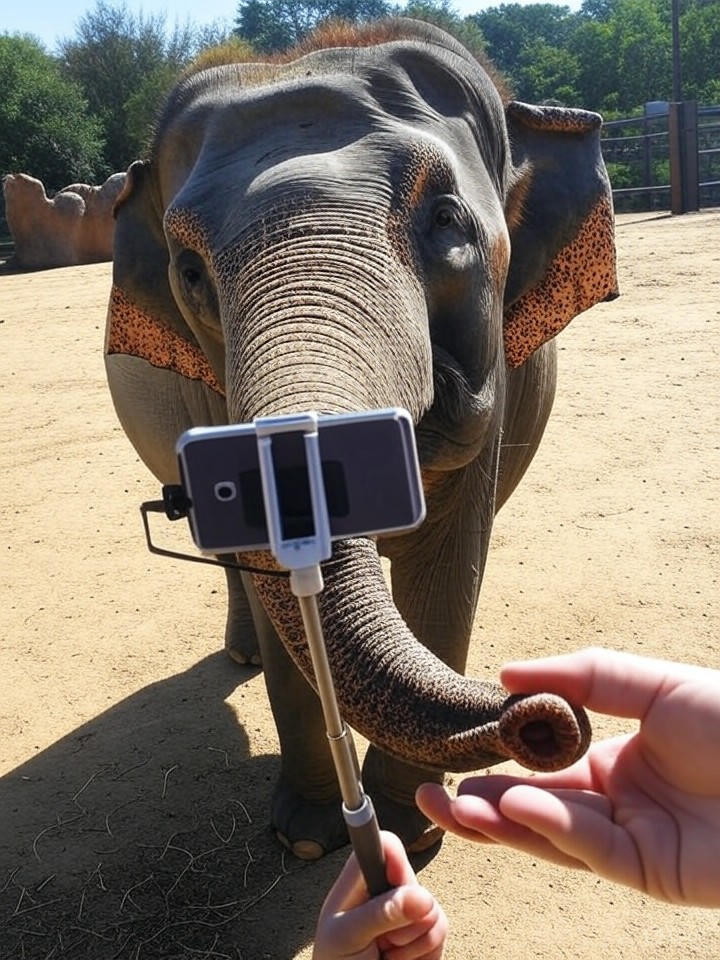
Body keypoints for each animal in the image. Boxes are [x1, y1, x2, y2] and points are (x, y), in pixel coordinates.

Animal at [104, 19, 618, 860]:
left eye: (446, 219)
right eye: (189, 269)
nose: (544, 711)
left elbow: (445, 572)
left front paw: (410, 832)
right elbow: (277, 586)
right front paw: (310, 840)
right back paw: (244, 654)